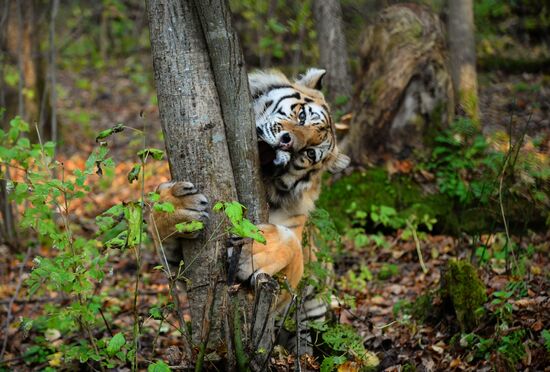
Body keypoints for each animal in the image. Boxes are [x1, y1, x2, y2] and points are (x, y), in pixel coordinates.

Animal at [151, 69, 350, 354]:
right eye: (301, 116)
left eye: (309, 153)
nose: (288, 144)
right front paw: (179, 207)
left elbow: (291, 244)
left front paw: (252, 253)